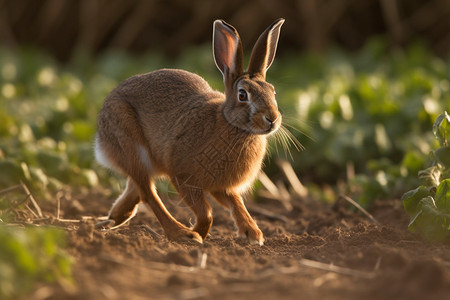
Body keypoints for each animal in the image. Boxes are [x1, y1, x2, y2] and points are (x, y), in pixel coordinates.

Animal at [95, 17, 284, 245]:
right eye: (242, 95)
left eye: (273, 92)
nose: (272, 119)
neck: (232, 125)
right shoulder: (183, 178)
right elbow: (207, 213)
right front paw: (198, 233)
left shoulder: (221, 187)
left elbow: (237, 204)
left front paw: (252, 234)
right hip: (130, 144)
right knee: (149, 193)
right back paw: (181, 233)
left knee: (136, 188)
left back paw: (112, 218)